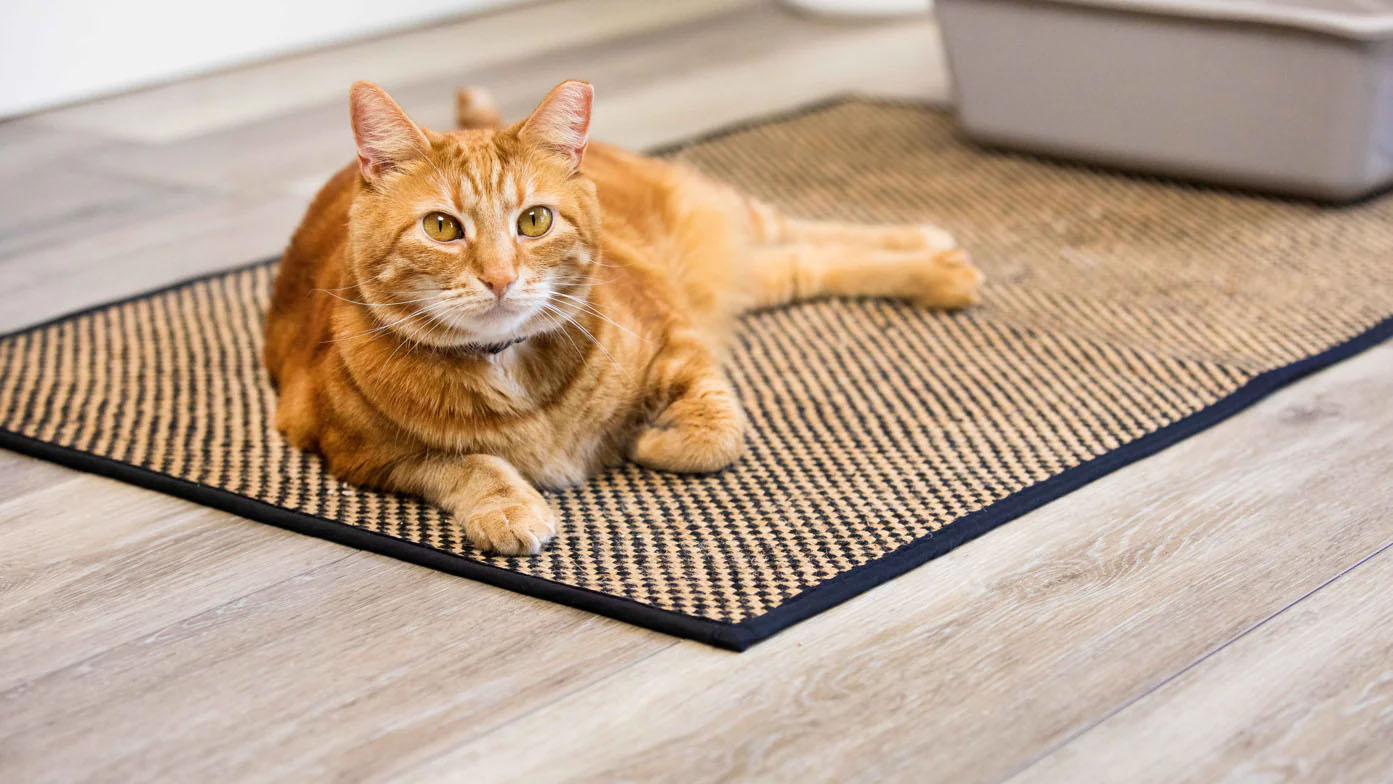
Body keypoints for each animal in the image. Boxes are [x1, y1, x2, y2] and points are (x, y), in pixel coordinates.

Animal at [263, 82, 980, 554]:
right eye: (442, 227)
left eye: (534, 220)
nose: (499, 277)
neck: (511, 372)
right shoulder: (354, 452)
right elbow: (462, 464)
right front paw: (507, 508)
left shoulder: (679, 340)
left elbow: (717, 434)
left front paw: (648, 441)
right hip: (749, 275)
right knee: (806, 260)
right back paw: (940, 265)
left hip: (727, 231)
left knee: (801, 229)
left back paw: (932, 248)